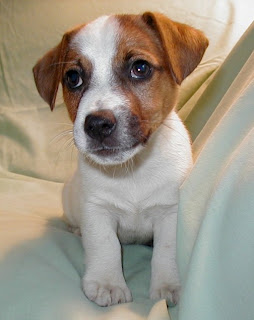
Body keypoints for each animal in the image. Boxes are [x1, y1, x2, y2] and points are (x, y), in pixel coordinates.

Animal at [33, 12, 208, 308]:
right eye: (72, 77)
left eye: (140, 68)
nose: (97, 125)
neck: (132, 170)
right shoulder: (97, 210)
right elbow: (106, 245)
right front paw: (108, 282)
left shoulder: (169, 211)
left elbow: (166, 250)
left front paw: (167, 285)